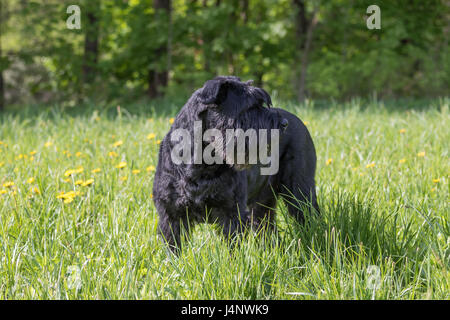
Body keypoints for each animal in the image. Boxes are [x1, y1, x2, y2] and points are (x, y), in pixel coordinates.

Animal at [153, 76, 318, 251]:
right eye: (249, 107)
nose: (284, 124)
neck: (201, 162)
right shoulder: (171, 215)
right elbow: (173, 249)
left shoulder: (232, 212)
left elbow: (233, 247)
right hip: (263, 201)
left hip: (300, 191)